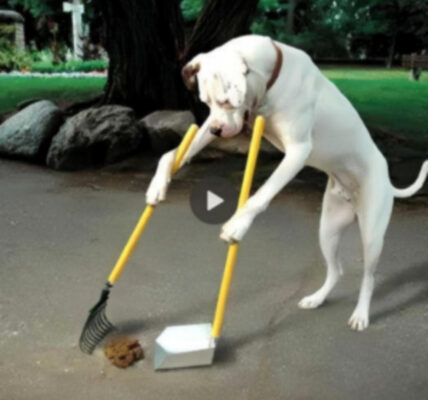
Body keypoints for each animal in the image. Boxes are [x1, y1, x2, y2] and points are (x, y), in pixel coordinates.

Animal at [145, 35, 426, 332]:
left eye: (226, 101)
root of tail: (386, 177)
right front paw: (158, 184)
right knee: (336, 270)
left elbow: (261, 195)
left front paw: (237, 225)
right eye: (206, 103)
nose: (216, 130)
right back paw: (317, 298)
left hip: (372, 236)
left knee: (369, 278)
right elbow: (171, 154)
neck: (273, 78)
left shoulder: (297, 152)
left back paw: (361, 314)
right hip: (328, 230)